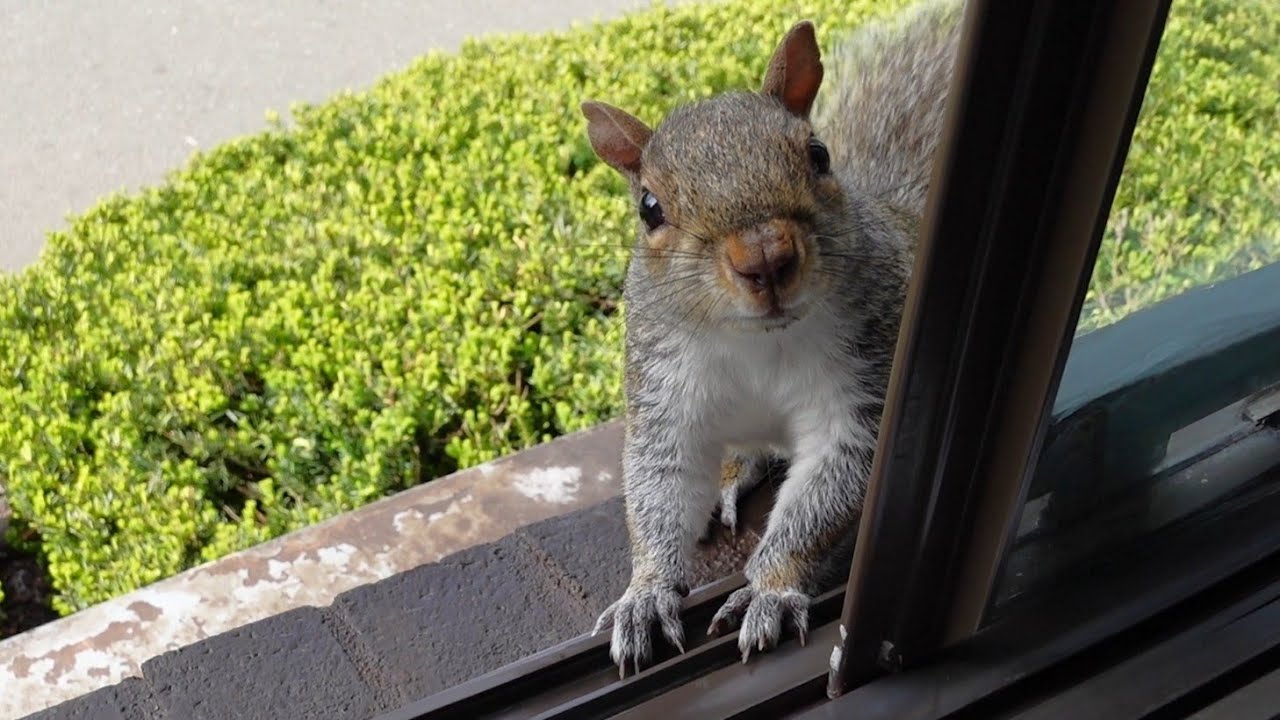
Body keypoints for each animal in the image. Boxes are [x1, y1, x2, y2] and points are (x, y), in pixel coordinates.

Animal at [582, 0, 963, 675]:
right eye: (649, 208)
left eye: (818, 154)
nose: (764, 257)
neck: (758, 339)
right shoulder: (664, 388)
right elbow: (659, 484)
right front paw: (646, 594)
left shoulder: (864, 385)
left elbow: (825, 496)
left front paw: (769, 591)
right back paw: (734, 472)